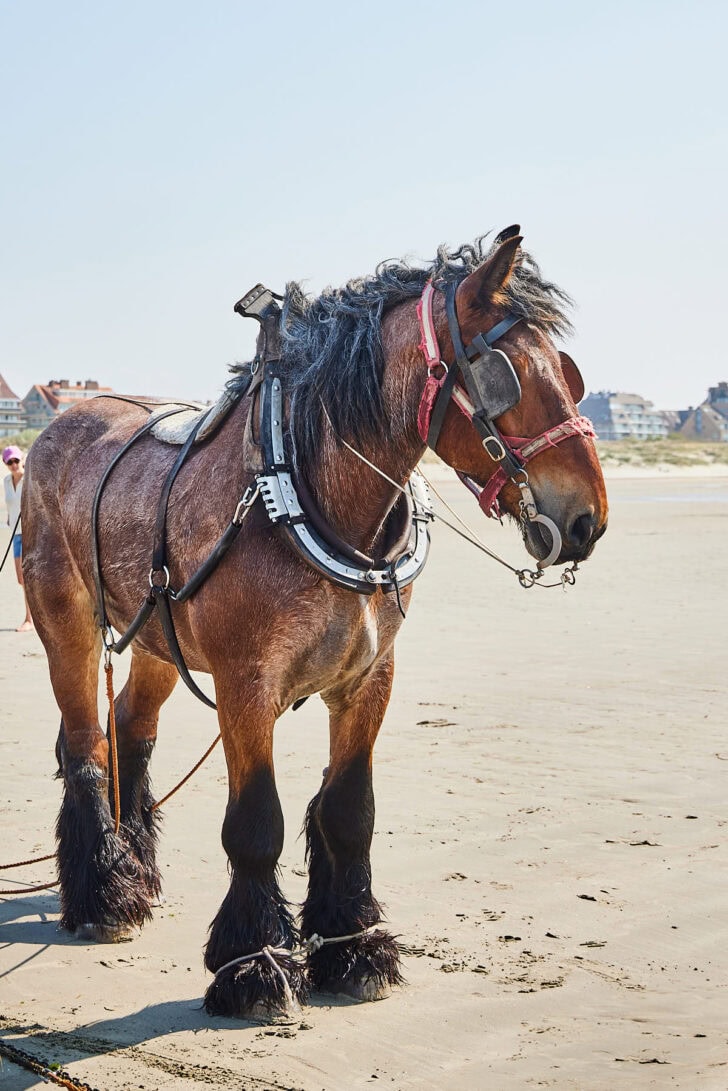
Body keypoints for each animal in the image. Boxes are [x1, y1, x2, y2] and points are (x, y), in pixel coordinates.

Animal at [21, 228, 608, 1019]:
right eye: (505, 377)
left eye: (568, 373)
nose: (586, 519)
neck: (308, 489)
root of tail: (62, 423)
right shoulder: (246, 686)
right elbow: (255, 824)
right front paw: (254, 963)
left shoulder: (368, 679)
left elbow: (349, 811)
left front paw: (353, 946)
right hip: (66, 622)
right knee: (86, 741)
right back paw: (104, 893)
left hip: (156, 640)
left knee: (130, 731)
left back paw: (134, 869)